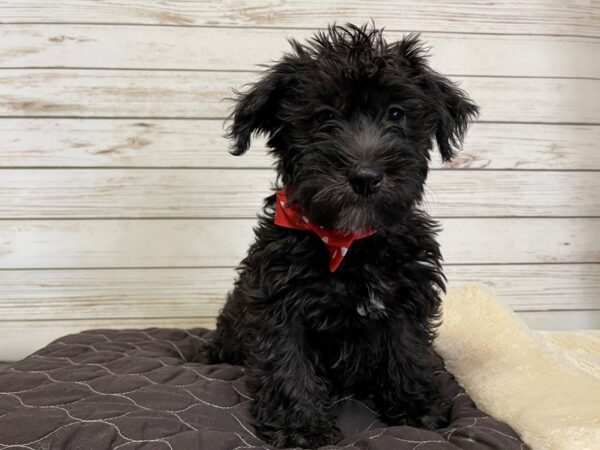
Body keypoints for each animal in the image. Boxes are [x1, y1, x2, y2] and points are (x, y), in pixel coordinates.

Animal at [211, 25, 478, 450]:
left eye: (396, 113)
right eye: (324, 117)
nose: (365, 176)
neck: (348, 242)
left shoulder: (406, 295)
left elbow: (407, 349)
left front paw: (416, 408)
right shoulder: (278, 300)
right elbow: (289, 361)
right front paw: (301, 426)